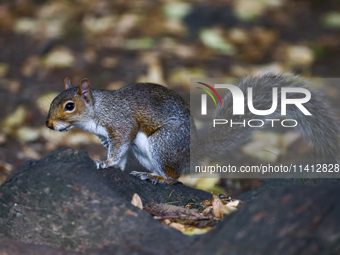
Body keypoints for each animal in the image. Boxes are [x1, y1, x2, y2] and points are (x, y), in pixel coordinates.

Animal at [45, 73, 340, 183]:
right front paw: (114, 165)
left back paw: (158, 177)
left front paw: (105, 163)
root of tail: (193, 153)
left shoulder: (121, 123)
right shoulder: (111, 136)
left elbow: (120, 145)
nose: (48, 124)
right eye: (52, 101)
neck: (98, 110)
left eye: (69, 106)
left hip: (163, 143)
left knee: (175, 176)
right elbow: (119, 151)